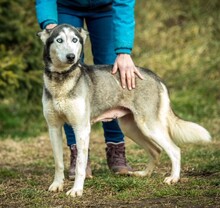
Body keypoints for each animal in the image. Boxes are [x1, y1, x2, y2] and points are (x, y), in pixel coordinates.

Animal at [37, 24, 211, 197]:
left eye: (74, 40)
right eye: (59, 40)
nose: (71, 57)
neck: (61, 80)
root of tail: (153, 75)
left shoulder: (81, 128)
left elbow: (80, 164)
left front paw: (77, 190)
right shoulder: (54, 128)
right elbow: (59, 162)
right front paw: (57, 185)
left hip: (149, 126)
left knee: (175, 150)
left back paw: (173, 178)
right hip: (131, 128)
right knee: (156, 150)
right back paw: (144, 174)